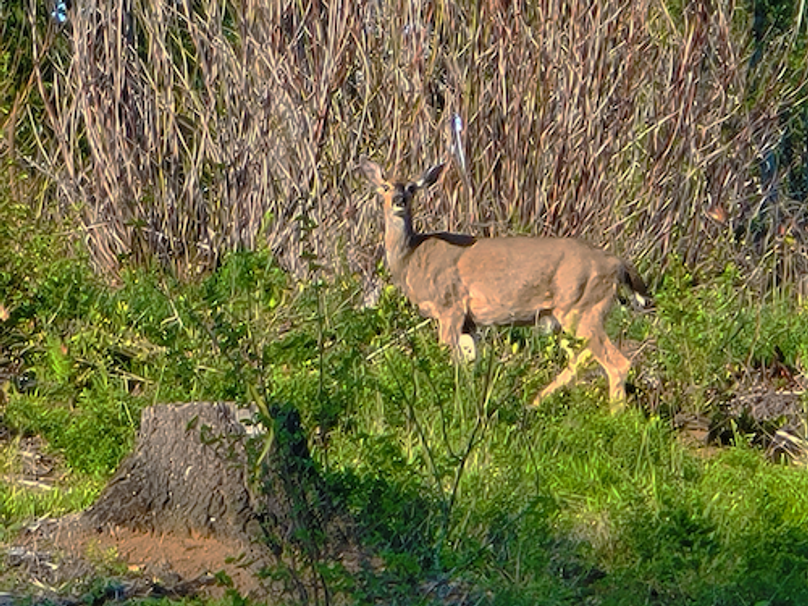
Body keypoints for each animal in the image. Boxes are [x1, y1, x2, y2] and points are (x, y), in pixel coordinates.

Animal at [359, 156, 649, 410]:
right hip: (568, 315)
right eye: (385, 187)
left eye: (411, 187)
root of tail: (617, 264)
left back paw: (614, 417)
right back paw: (535, 403)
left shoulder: (450, 305)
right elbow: (469, 361)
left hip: (582, 308)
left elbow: (445, 355)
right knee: (582, 358)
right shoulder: (469, 321)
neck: (412, 259)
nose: (399, 200)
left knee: (616, 363)